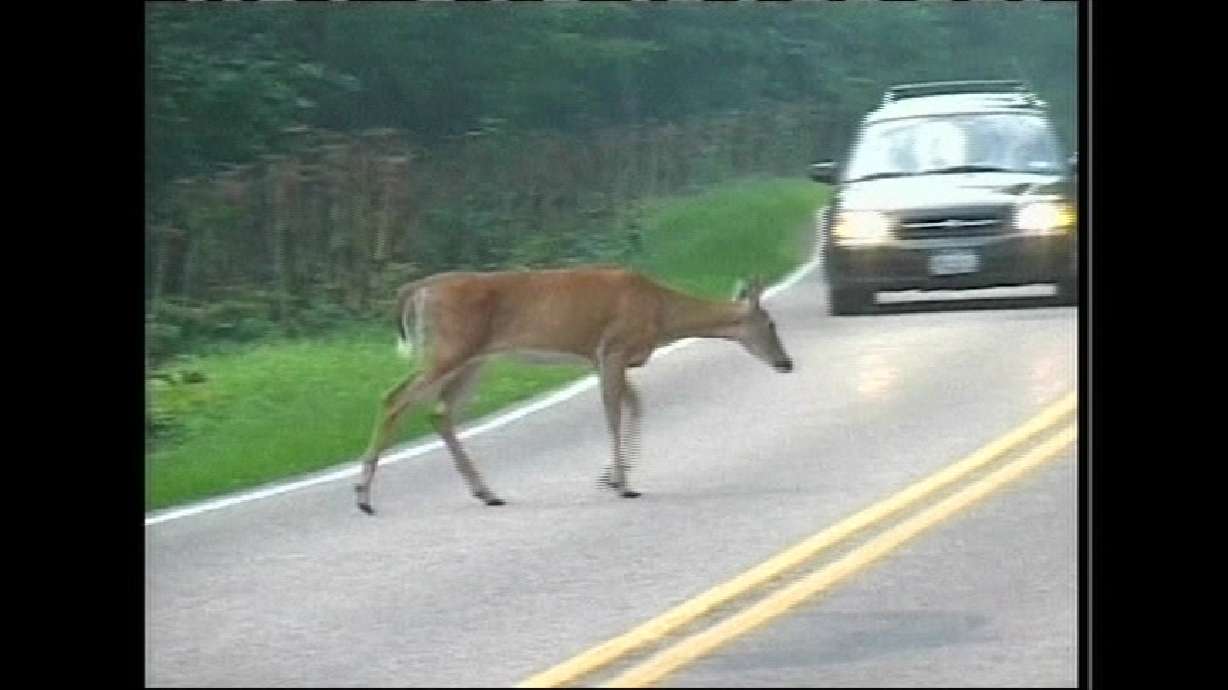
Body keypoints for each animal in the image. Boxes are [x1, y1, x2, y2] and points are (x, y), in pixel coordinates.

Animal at [354, 264, 794, 515]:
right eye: (771, 324)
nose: (786, 363)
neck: (661, 312)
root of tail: (415, 291)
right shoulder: (613, 348)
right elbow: (614, 412)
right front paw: (622, 484)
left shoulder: (607, 358)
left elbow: (635, 406)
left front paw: (612, 478)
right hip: (448, 349)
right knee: (394, 399)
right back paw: (363, 496)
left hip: (473, 360)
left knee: (438, 412)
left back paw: (487, 492)